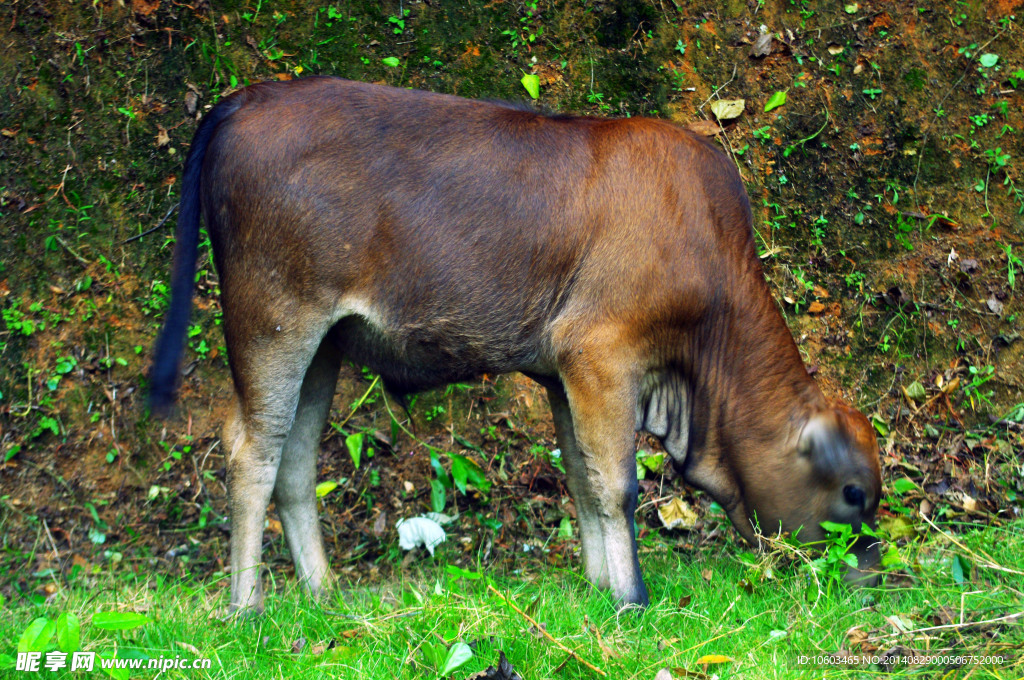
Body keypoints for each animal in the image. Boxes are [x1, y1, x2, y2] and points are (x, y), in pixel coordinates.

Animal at [148, 76, 884, 614]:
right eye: (853, 493)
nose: (874, 578)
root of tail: (246, 98)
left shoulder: (564, 372)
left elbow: (582, 479)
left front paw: (598, 586)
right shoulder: (601, 356)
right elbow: (617, 485)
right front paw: (632, 597)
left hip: (323, 344)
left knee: (295, 463)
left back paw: (325, 594)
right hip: (273, 322)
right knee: (250, 452)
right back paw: (248, 607)